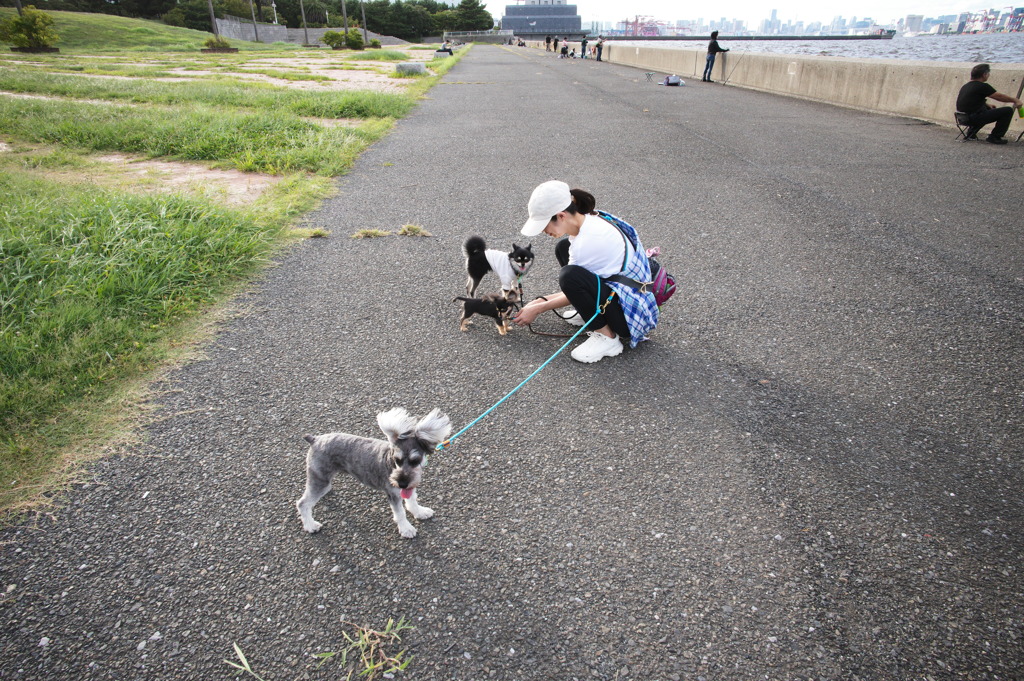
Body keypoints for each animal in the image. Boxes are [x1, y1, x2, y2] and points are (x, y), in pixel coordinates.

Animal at [294, 409, 450, 536]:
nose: (401, 483)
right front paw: (406, 529)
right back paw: (310, 525)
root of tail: (315, 440)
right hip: (320, 480)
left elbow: (411, 501)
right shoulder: (393, 494)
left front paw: (420, 512)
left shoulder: (409, 486)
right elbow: (400, 513)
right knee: (303, 503)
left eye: (415, 460)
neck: (390, 463)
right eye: (397, 460)